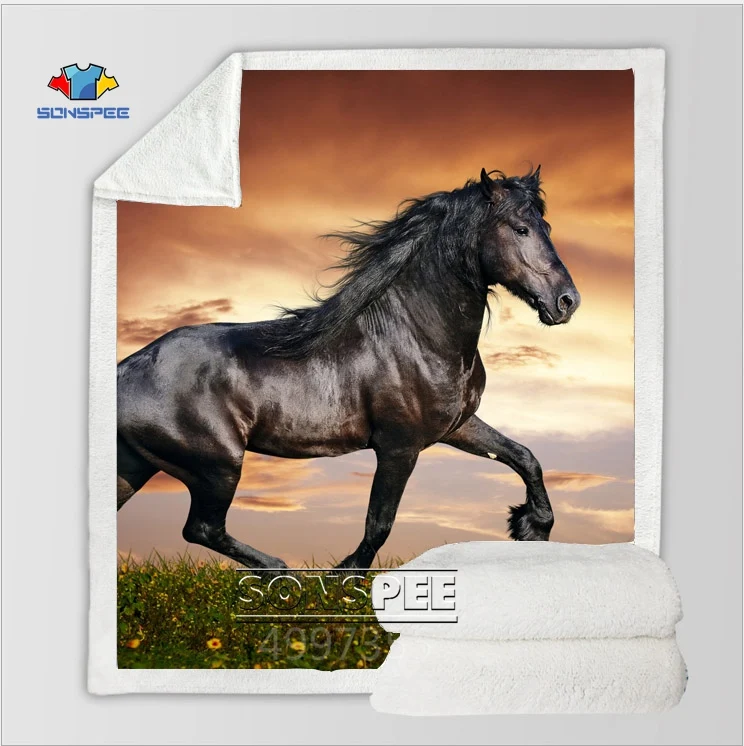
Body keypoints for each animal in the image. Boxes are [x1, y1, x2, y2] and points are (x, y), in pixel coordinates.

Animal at [117, 166, 580, 569]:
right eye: (519, 229)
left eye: (546, 227)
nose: (567, 301)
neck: (417, 336)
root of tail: (126, 369)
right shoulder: (398, 446)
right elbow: (379, 524)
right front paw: (345, 576)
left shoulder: (457, 427)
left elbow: (525, 457)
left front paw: (532, 526)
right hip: (217, 466)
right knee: (202, 529)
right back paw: (281, 572)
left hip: (137, 467)